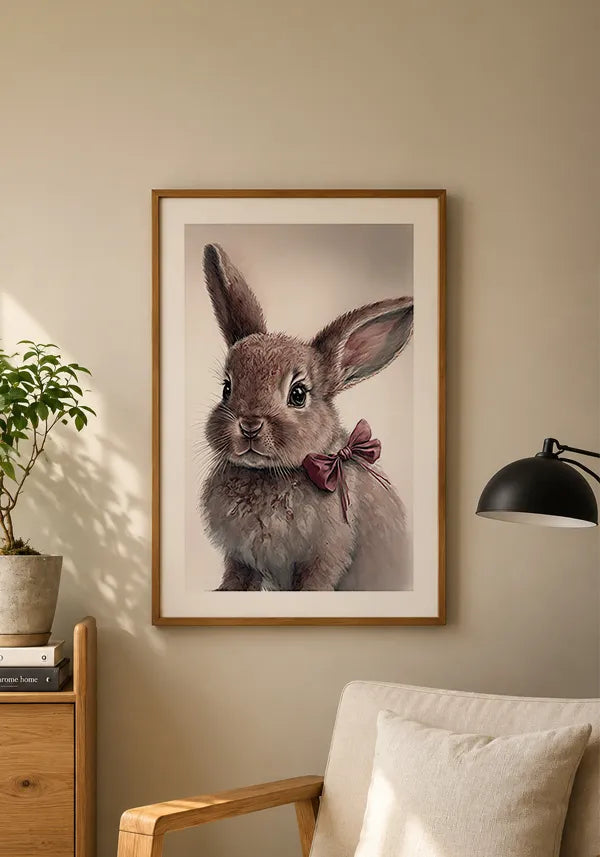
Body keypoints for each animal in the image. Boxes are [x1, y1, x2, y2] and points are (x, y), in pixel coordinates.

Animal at [200, 243, 414, 591]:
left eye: (298, 394)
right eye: (227, 388)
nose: (249, 425)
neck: (270, 475)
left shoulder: (326, 557)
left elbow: (315, 582)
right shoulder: (241, 559)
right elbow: (237, 579)